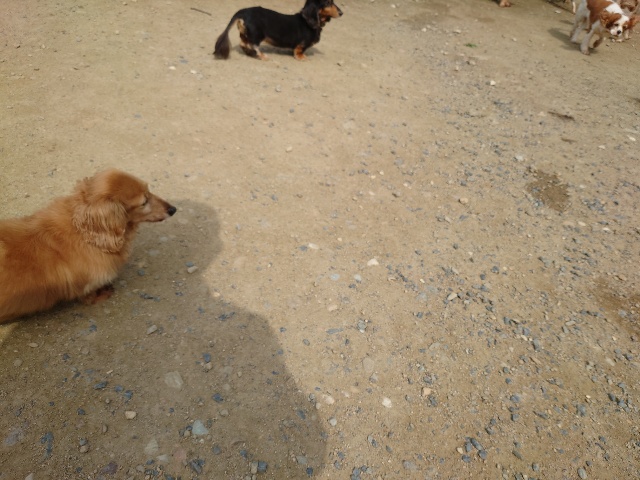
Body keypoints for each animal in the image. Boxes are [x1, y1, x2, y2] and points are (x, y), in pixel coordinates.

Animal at [0, 170, 176, 323]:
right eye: (144, 202)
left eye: (149, 190)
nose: (173, 209)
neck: (84, 233)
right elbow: (89, 294)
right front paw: (102, 294)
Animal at [213, 0, 343, 60]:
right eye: (328, 2)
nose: (341, 13)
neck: (307, 21)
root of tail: (244, 12)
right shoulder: (302, 44)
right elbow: (299, 51)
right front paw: (302, 57)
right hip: (257, 35)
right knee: (252, 45)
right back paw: (262, 56)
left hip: (245, 33)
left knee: (243, 44)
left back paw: (250, 53)